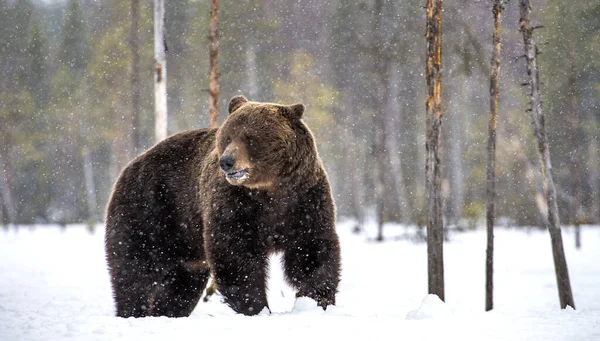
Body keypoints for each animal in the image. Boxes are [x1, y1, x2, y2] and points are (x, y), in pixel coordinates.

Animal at [105, 95, 340, 316]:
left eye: (250, 137)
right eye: (228, 136)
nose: (227, 161)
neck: (270, 189)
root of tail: (130, 165)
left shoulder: (304, 199)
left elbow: (311, 251)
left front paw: (318, 300)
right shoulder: (234, 204)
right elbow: (235, 255)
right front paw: (257, 306)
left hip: (185, 251)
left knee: (180, 286)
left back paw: (166, 312)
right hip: (149, 211)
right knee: (136, 272)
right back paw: (134, 311)